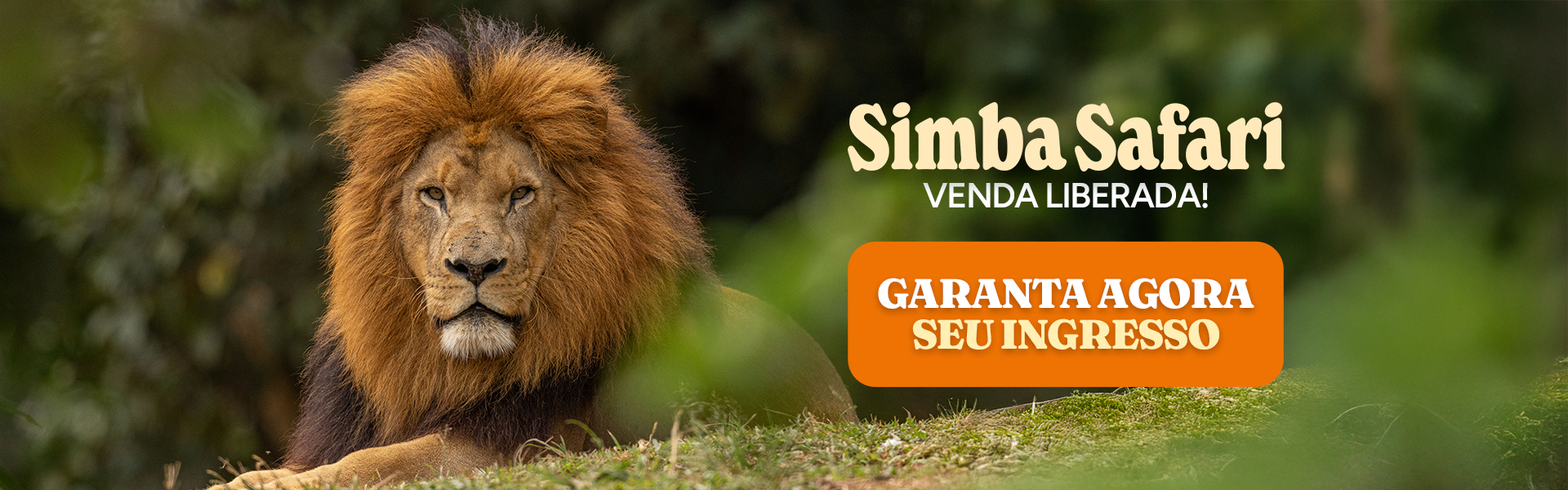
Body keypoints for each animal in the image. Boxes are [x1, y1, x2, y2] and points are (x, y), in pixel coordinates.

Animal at [211, 15, 855, 490]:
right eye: (434, 194)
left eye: (520, 193)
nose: (474, 267)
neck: (440, 368)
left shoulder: (521, 446)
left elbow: (381, 459)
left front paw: (261, 482)